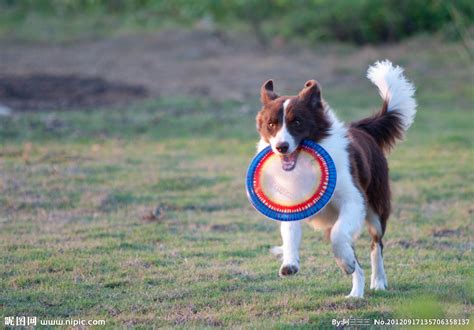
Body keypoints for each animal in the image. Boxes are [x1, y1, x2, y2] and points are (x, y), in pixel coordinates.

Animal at [256, 60, 414, 298]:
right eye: (271, 124)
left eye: (297, 122)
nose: (281, 147)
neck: (305, 164)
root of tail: (361, 128)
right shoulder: (292, 204)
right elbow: (289, 232)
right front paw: (289, 262)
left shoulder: (354, 200)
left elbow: (339, 237)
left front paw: (345, 262)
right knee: (357, 259)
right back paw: (355, 292)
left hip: (376, 209)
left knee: (375, 245)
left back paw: (376, 280)